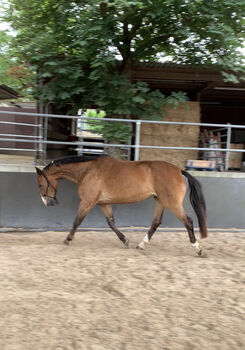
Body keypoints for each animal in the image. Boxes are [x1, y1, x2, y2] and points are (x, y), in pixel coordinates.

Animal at [35, 154, 208, 256]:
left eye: (40, 184)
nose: (48, 202)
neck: (87, 171)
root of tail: (178, 170)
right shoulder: (103, 203)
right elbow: (111, 223)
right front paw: (125, 240)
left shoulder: (87, 202)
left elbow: (77, 221)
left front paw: (67, 240)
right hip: (160, 201)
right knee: (156, 222)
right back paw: (141, 245)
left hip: (172, 203)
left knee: (188, 221)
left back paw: (197, 248)